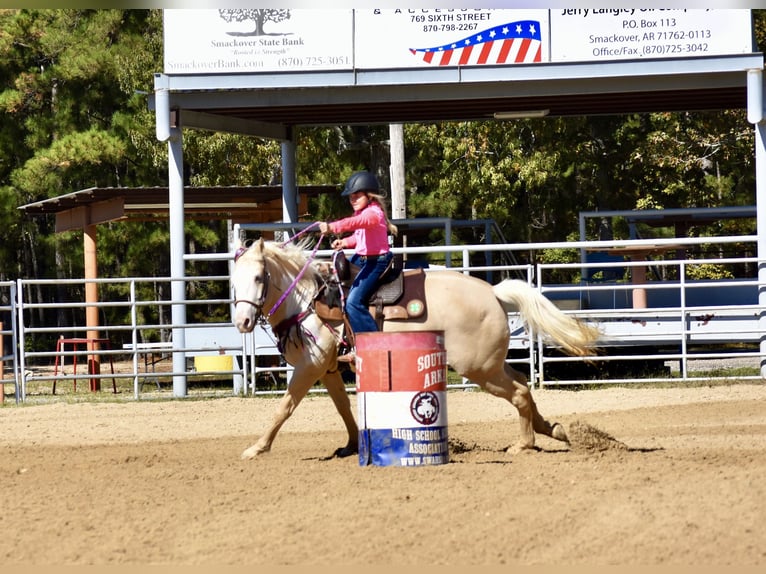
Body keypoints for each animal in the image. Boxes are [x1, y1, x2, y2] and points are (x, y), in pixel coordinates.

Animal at [231, 237, 600, 460]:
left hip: (478, 368)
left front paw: (256, 448)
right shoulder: (329, 368)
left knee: (520, 392)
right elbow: (344, 409)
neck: (306, 300)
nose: (243, 321)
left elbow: (284, 408)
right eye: (235, 281)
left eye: (260, 278)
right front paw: (351, 445)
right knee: (524, 384)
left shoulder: (310, 367)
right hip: (491, 363)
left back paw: (524, 444)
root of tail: (493, 293)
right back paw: (551, 429)